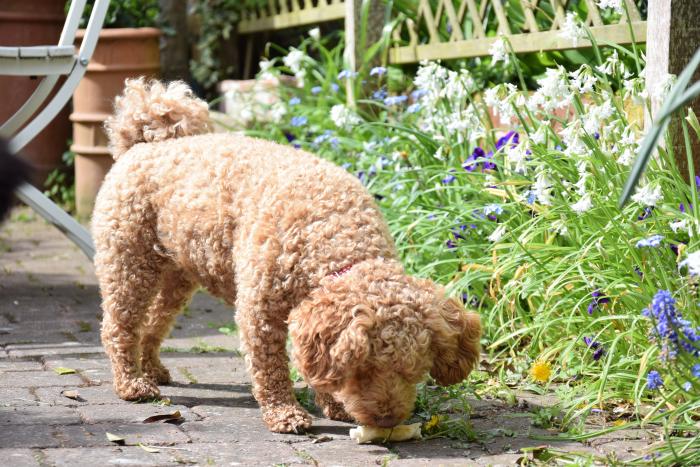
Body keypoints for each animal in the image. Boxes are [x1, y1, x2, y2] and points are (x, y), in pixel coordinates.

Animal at [94, 80, 482, 436]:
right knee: (119, 327)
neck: (332, 235)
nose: (386, 419)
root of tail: (142, 145)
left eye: (412, 372)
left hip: (177, 277)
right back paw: (132, 384)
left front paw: (331, 405)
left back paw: (152, 368)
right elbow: (271, 369)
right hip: (129, 265)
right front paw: (286, 414)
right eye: (361, 371)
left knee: (153, 323)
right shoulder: (259, 313)